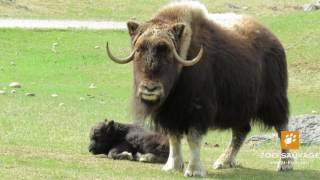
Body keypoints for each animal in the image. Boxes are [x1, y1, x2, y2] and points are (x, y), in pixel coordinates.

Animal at [106, 0, 294, 177]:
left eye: (167, 51)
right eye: (139, 50)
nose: (150, 89)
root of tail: (274, 40)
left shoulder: (198, 109)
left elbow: (193, 138)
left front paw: (194, 170)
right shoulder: (170, 112)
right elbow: (173, 138)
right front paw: (172, 166)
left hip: (274, 101)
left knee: (281, 127)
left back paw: (285, 165)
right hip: (240, 108)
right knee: (241, 131)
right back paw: (223, 161)